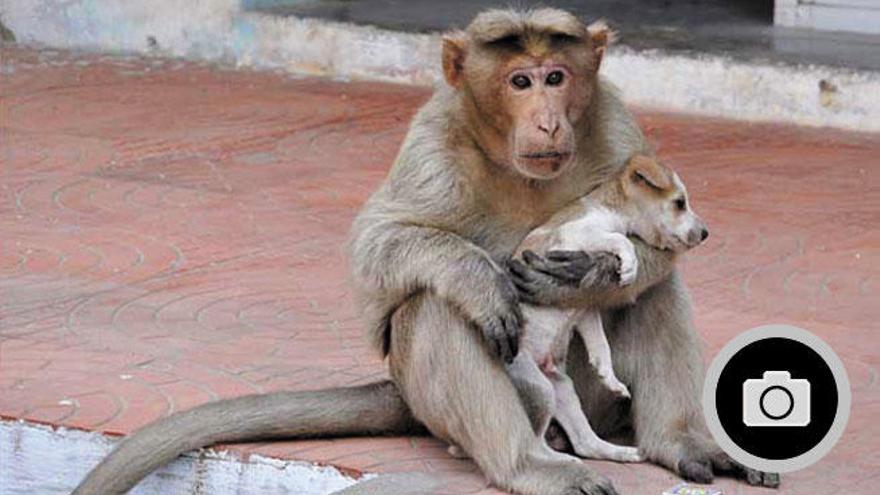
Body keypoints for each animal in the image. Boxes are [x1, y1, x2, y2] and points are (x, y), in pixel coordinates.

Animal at [72, 9, 779, 495]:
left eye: (557, 77)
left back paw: (675, 443)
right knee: (434, 308)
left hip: (579, 397)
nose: (548, 119)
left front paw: (594, 275)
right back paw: (527, 462)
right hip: (475, 397)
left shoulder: (614, 119)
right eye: (520, 81)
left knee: (653, 296)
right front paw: (497, 278)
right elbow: (380, 249)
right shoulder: (435, 139)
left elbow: (651, 263)